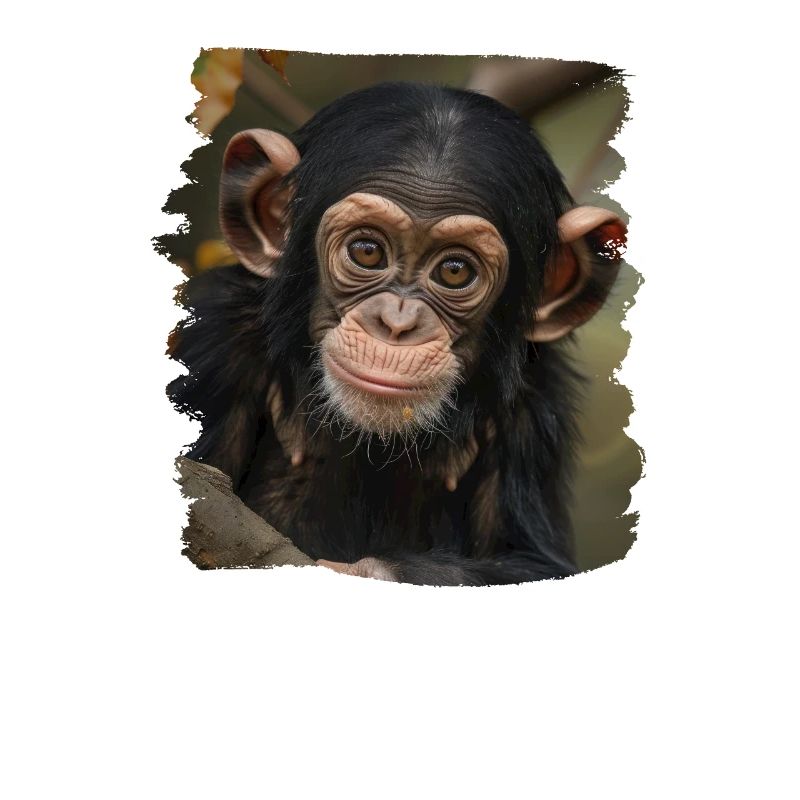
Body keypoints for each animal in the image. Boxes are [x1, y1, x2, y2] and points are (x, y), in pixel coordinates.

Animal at [169, 82, 627, 585]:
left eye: (454, 271)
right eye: (367, 251)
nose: (398, 324)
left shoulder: (535, 406)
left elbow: (533, 563)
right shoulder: (214, 337)